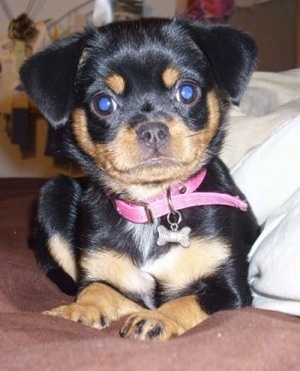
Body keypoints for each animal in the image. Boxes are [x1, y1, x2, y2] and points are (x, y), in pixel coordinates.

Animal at [20, 18, 260, 342]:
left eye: (187, 92)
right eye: (104, 104)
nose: (153, 130)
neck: (153, 203)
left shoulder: (231, 291)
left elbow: (187, 300)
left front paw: (158, 319)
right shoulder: (114, 282)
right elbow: (96, 290)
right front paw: (77, 310)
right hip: (54, 191)